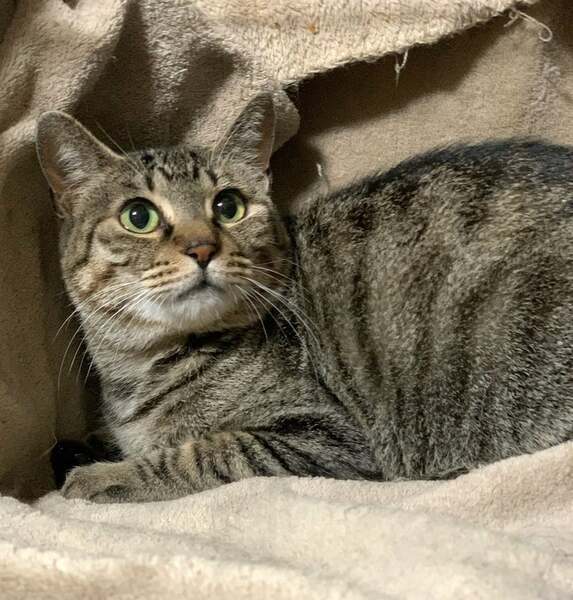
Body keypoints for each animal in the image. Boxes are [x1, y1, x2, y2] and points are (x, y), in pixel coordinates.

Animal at [36, 93, 573, 503]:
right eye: (138, 216)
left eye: (227, 206)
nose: (202, 247)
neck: (140, 369)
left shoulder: (324, 437)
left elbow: (208, 451)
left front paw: (105, 475)